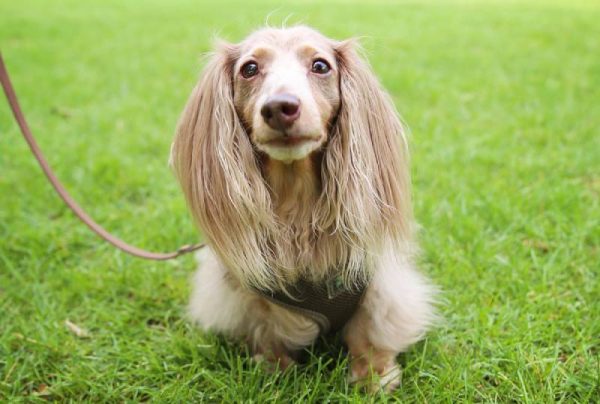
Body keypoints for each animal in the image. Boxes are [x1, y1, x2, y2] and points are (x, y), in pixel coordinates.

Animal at [170, 26, 436, 392]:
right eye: (249, 69)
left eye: (320, 65)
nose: (280, 107)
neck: (296, 204)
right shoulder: (248, 296)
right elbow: (265, 328)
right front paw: (274, 370)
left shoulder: (380, 287)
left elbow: (368, 331)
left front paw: (374, 376)